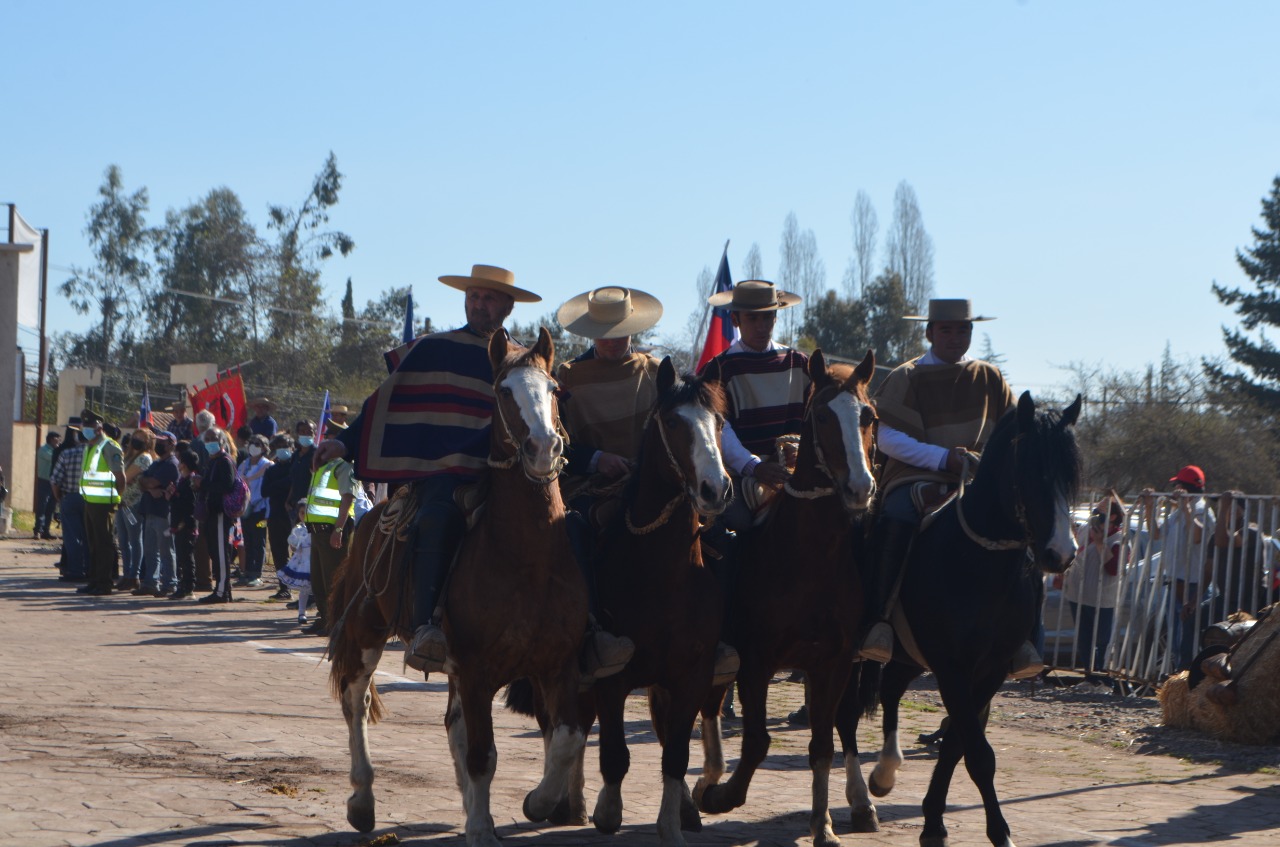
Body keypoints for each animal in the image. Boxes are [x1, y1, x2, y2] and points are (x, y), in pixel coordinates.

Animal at [330, 326, 588, 847]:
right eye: (503, 392)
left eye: (553, 389)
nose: (543, 449)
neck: (528, 560)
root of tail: (368, 518)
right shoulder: (476, 669)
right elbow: (482, 754)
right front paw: (483, 828)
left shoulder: (558, 663)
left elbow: (566, 739)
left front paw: (537, 802)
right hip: (367, 630)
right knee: (356, 699)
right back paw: (362, 800)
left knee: (453, 727)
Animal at [506, 358, 737, 847]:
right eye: (674, 422)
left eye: (719, 422)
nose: (715, 490)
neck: (664, 576)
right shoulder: (612, 677)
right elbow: (613, 752)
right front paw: (607, 810)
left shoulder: (690, 675)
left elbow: (675, 752)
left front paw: (671, 824)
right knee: (556, 723)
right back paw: (561, 801)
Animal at [691, 348, 880, 847]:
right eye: (823, 416)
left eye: (868, 416)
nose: (860, 488)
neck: (807, 559)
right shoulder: (756, 661)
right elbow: (757, 740)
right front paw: (722, 796)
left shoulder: (833, 663)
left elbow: (822, 744)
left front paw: (823, 826)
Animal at [839, 394, 1080, 847]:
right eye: (1030, 469)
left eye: (1070, 474)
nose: (1061, 553)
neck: (978, 562)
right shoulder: (952, 668)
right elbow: (978, 753)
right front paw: (999, 831)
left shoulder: (988, 671)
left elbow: (957, 744)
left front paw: (934, 822)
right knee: (844, 716)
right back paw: (862, 801)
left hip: (908, 657)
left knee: (891, 691)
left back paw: (886, 771)